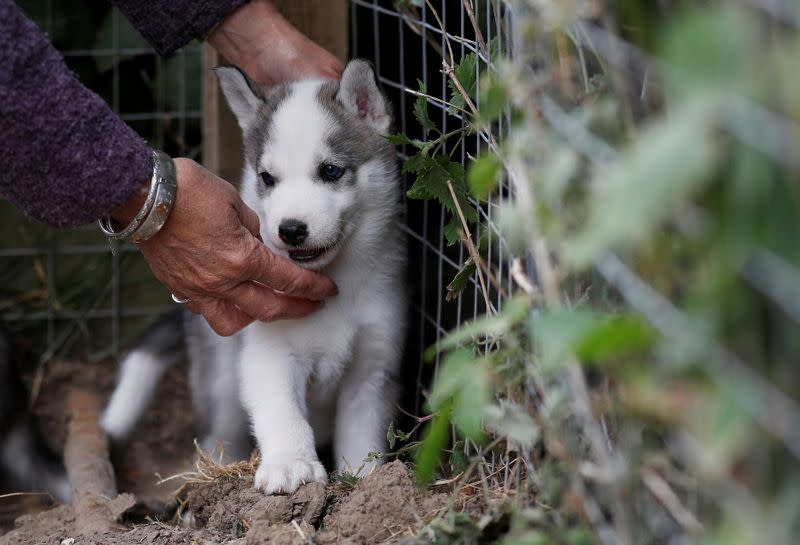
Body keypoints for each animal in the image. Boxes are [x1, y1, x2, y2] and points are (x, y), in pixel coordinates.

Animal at [103, 59, 406, 492]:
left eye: (331, 171)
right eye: (267, 178)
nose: (291, 230)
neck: (336, 288)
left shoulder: (372, 371)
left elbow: (362, 437)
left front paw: (365, 482)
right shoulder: (271, 354)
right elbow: (284, 414)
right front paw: (291, 464)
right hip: (223, 386)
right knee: (220, 432)